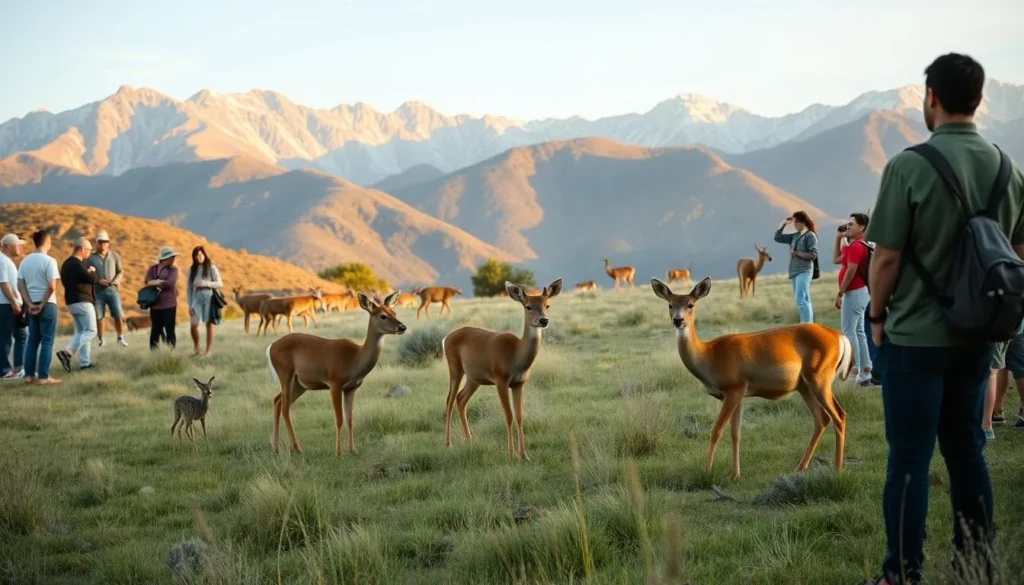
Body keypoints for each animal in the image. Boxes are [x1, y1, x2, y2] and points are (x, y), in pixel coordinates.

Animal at [266, 291, 407, 455]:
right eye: (383, 316)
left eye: (394, 312)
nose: (402, 327)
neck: (355, 359)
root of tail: (270, 348)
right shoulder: (335, 382)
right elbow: (339, 419)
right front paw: (338, 452)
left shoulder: (351, 388)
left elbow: (350, 419)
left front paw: (352, 450)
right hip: (285, 373)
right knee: (285, 407)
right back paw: (296, 448)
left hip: (300, 383)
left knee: (277, 401)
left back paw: (276, 447)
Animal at [443, 279, 562, 461]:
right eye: (528, 306)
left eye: (547, 305)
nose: (543, 320)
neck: (516, 357)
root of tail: (445, 338)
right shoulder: (500, 379)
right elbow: (509, 415)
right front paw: (511, 453)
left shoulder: (519, 383)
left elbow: (520, 416)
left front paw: (524, 455)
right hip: (455, 367)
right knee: (449, 400)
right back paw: (448, 444)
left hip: (474, 377)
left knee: (461, 398)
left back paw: (469, 439)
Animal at [650, 277, 852, 479]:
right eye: (670, 305)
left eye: (690, 304)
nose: (678, 320)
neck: (708, 357)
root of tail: (839, 336)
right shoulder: (738, 393)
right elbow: (735, 433)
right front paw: (735, 474)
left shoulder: (734, 387)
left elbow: (716, 429)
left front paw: (707, 471)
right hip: (805, 384)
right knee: (821, 419)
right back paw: (799, 468)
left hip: (820, 376)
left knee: (839, 415)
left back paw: (837, 469)